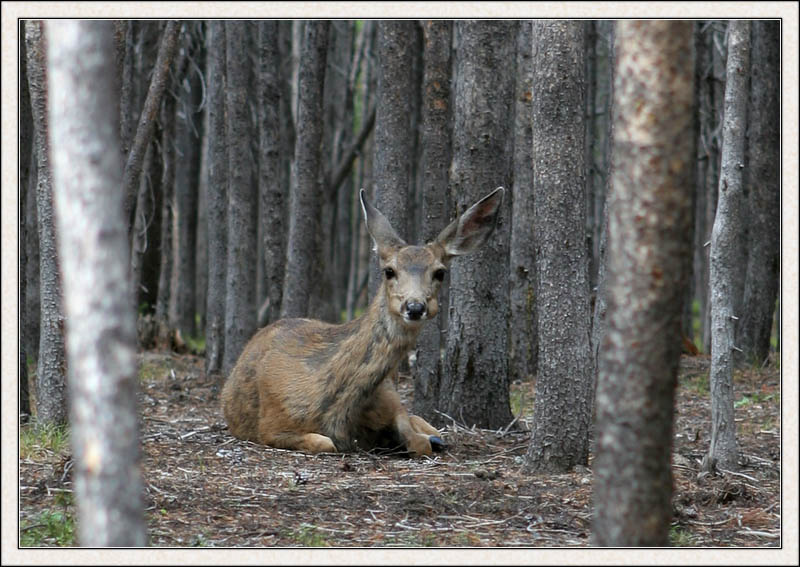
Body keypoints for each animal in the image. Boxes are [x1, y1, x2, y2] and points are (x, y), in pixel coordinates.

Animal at [221, 187, 505, 457]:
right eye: (389, 271)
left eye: (440, 273)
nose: (414, 307)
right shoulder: (270, 425)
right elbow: (324, 442)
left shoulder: (389, 402)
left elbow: (417, 439)